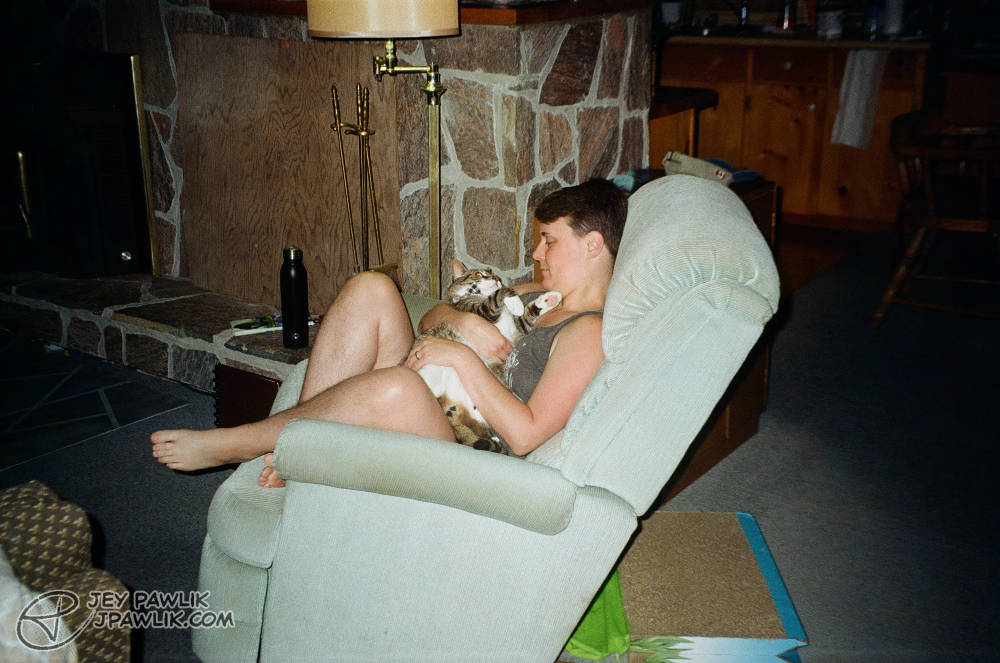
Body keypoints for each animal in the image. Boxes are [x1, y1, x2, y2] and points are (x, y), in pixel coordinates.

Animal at [414, 260, 562, 453]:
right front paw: (515, 301)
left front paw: (550, 299)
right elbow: (501, 293)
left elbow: (527, 313)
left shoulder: (518, 327)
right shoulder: (480, 311)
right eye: (478, 274)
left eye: (495, 274)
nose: (497, 278)